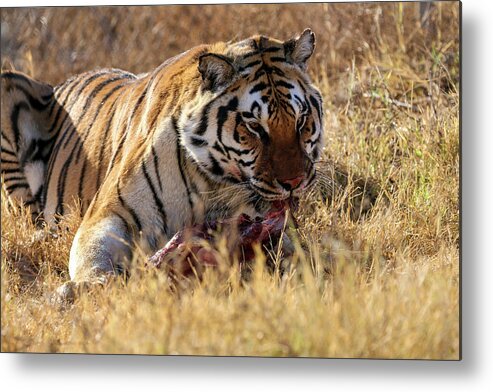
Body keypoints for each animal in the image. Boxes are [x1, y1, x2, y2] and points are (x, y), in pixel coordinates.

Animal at [0, 29, 322, 292]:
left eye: (301, 120)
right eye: (254, 126)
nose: (294, 182)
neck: (214, 182)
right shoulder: (107, 212)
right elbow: (94, 253)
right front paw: (89, 286)